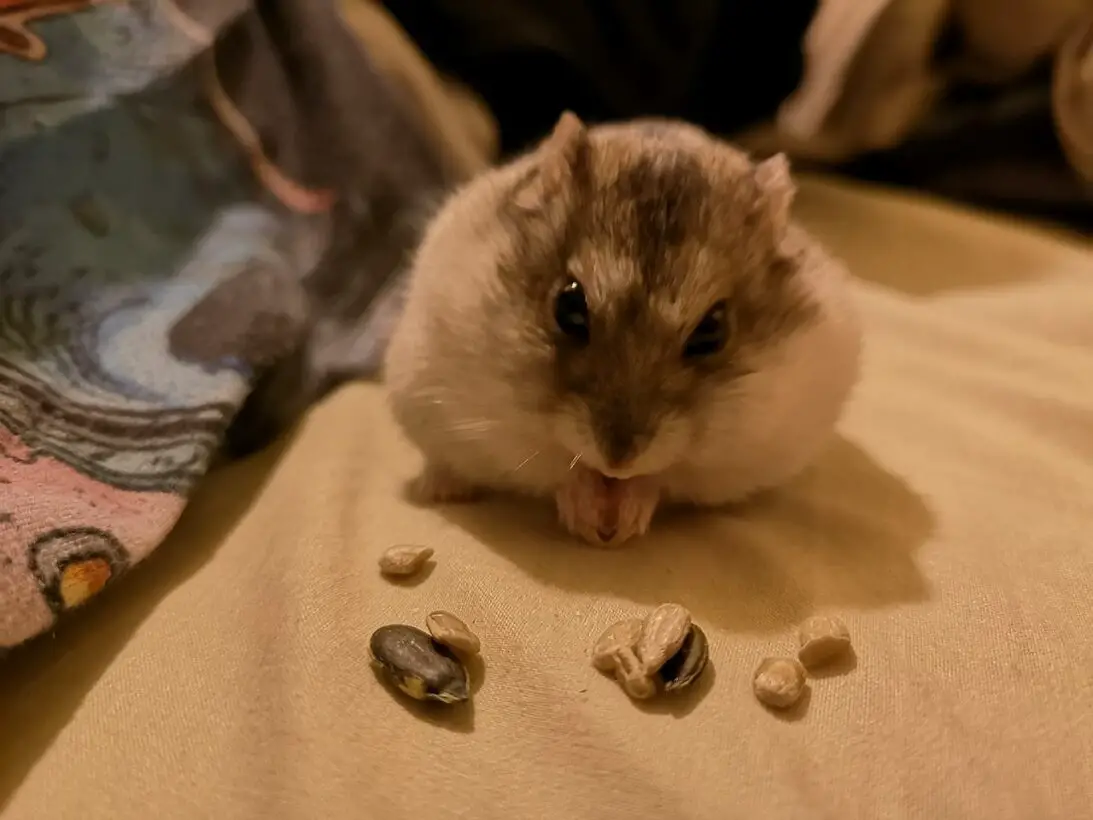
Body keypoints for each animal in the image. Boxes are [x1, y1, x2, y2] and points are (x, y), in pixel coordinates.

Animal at [383, 112, 862, 546]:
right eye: (568, 307)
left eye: (713, 331)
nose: (618, 461)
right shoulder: (497, 426)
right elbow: (555, 465)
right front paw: (591, 517)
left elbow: (665, 475)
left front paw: (623, 518)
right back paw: (442, 489)